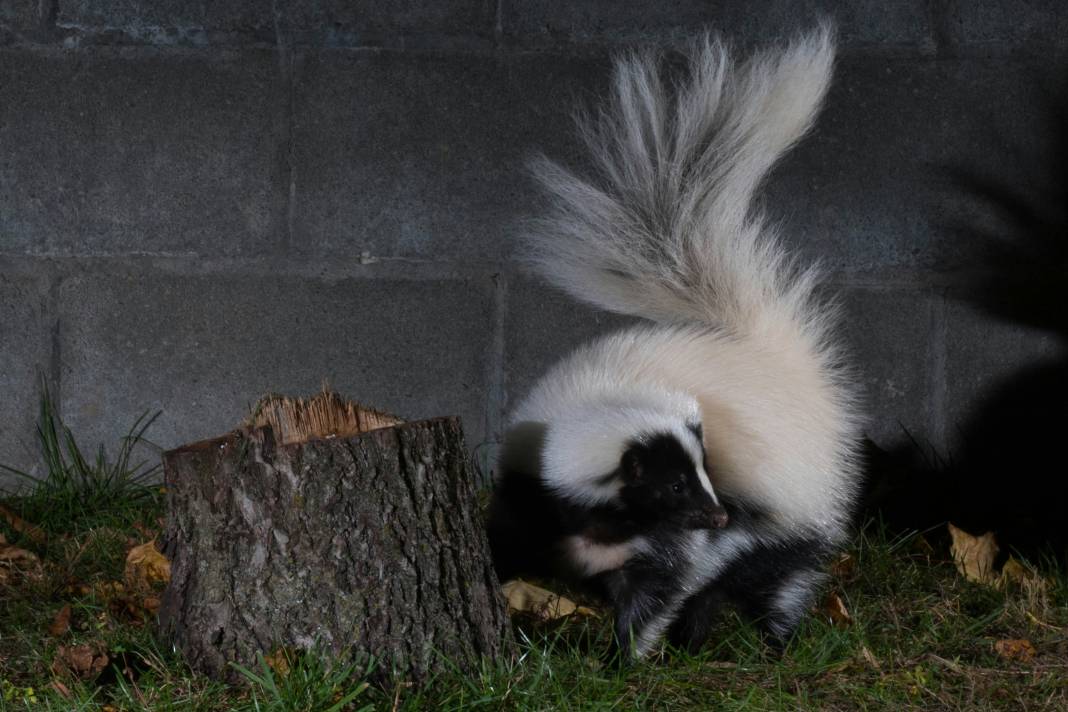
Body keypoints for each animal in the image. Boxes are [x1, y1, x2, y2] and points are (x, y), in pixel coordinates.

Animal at [489, 25, 862, 661]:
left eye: (706, 471)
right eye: (673, 484)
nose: (716, 516)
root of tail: (776, 358)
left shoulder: (672, 544)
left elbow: (662, 587)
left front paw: (621, 660)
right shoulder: (530, 498)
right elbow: (506, 546)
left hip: (793, 511)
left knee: (782, 579)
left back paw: (772, 644)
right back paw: (701, 641)